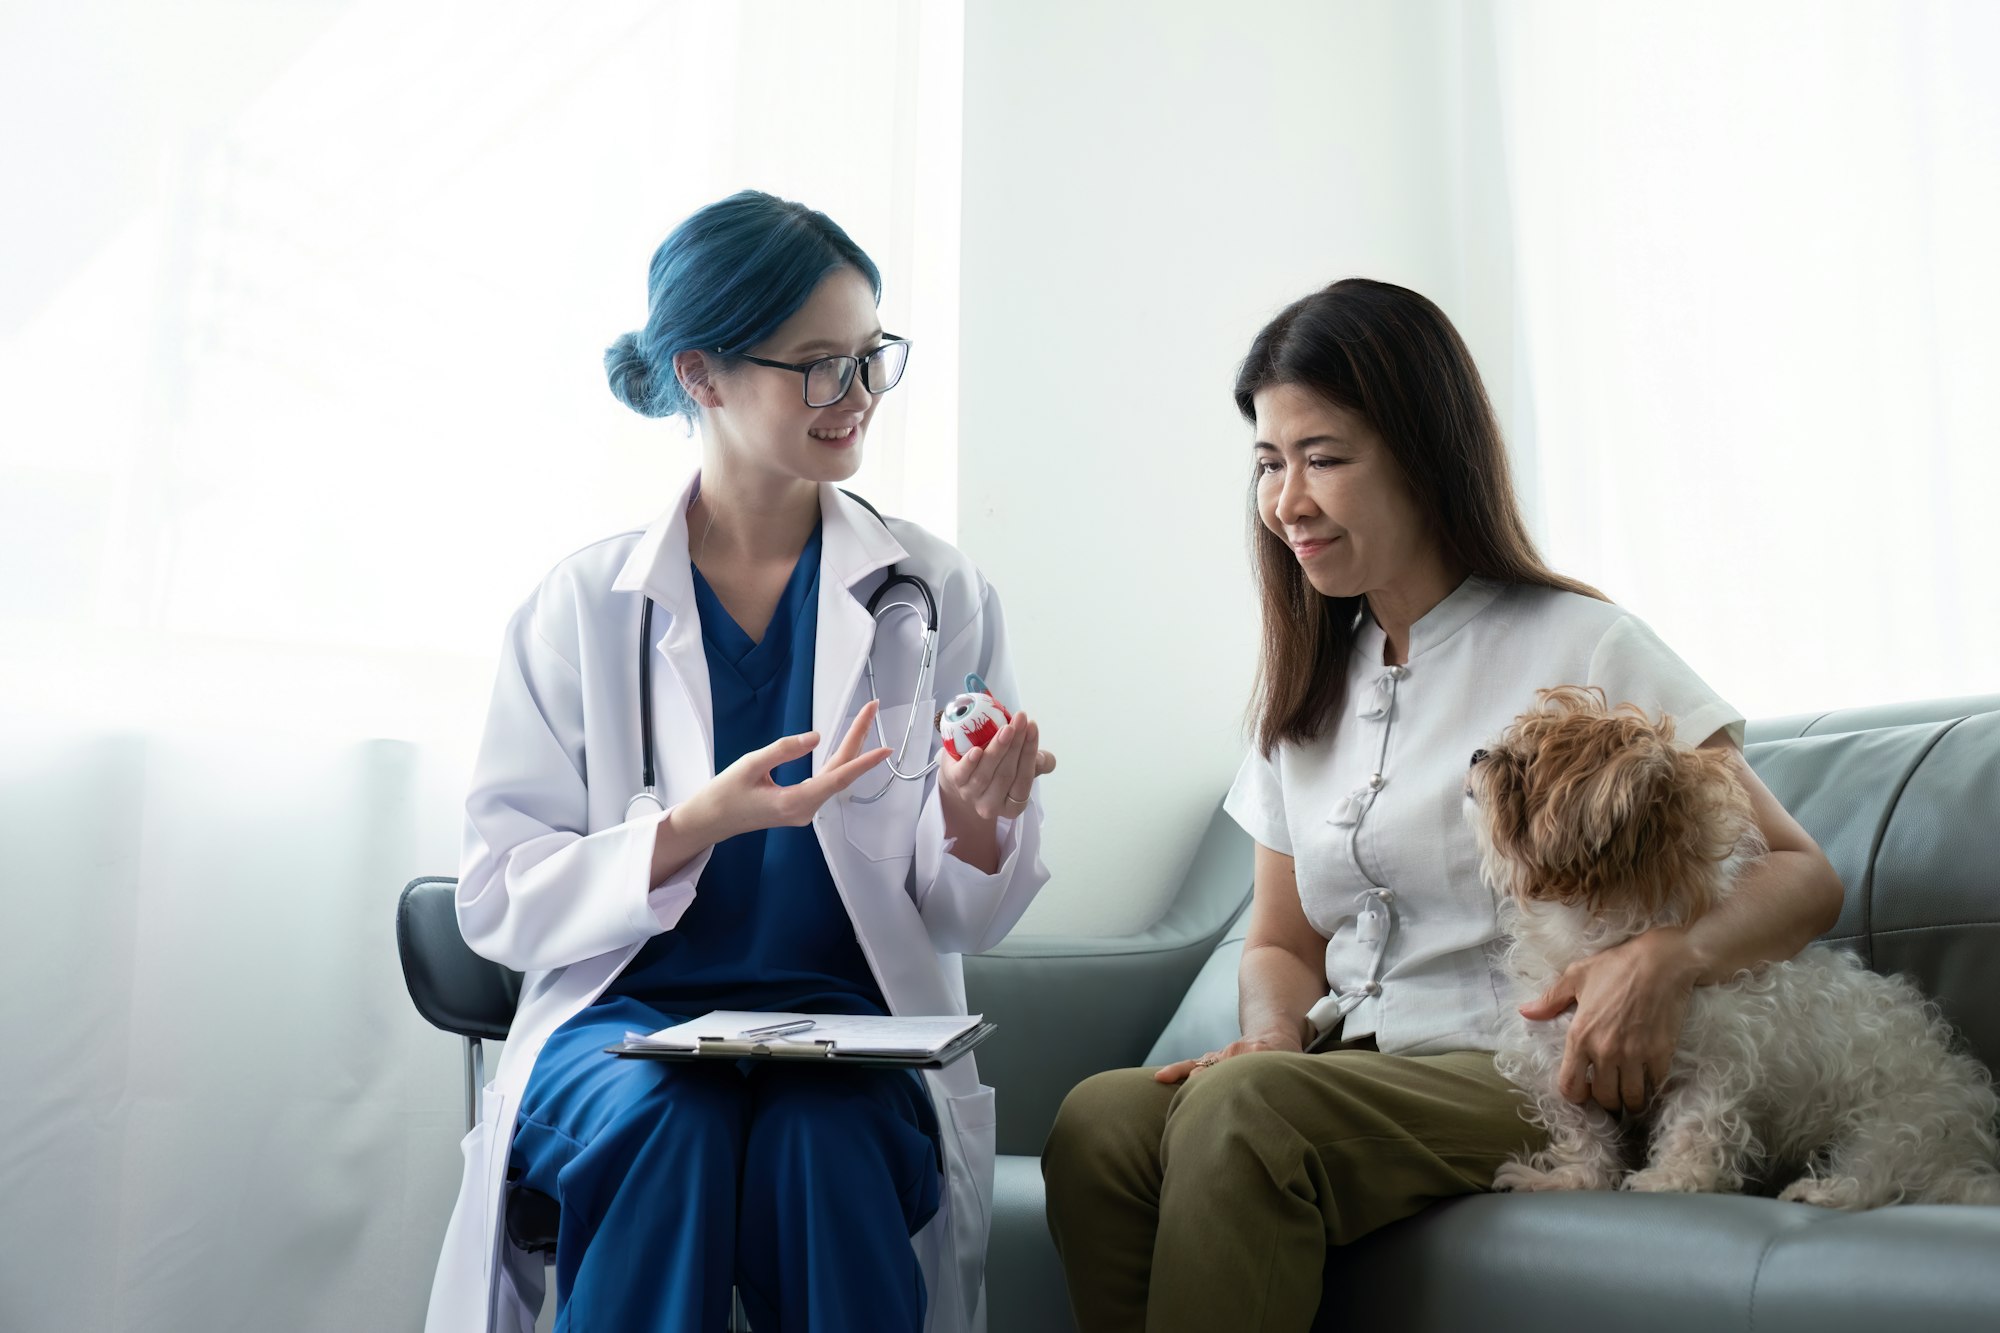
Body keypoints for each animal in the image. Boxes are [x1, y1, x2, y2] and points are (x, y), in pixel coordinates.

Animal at [1464, 684, 1992, 1200]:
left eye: (1525, 760)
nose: (1475, 753)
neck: (1596, 933)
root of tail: (1963, 1156)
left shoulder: (1715, 1063)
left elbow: (1695, 1125)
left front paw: (1673, 1178)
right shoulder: (1561, 1064)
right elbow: (1584, 1133)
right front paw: (1574, 1179)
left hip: (1897, 1126)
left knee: (1882, 1175)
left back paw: (1827, 1190)